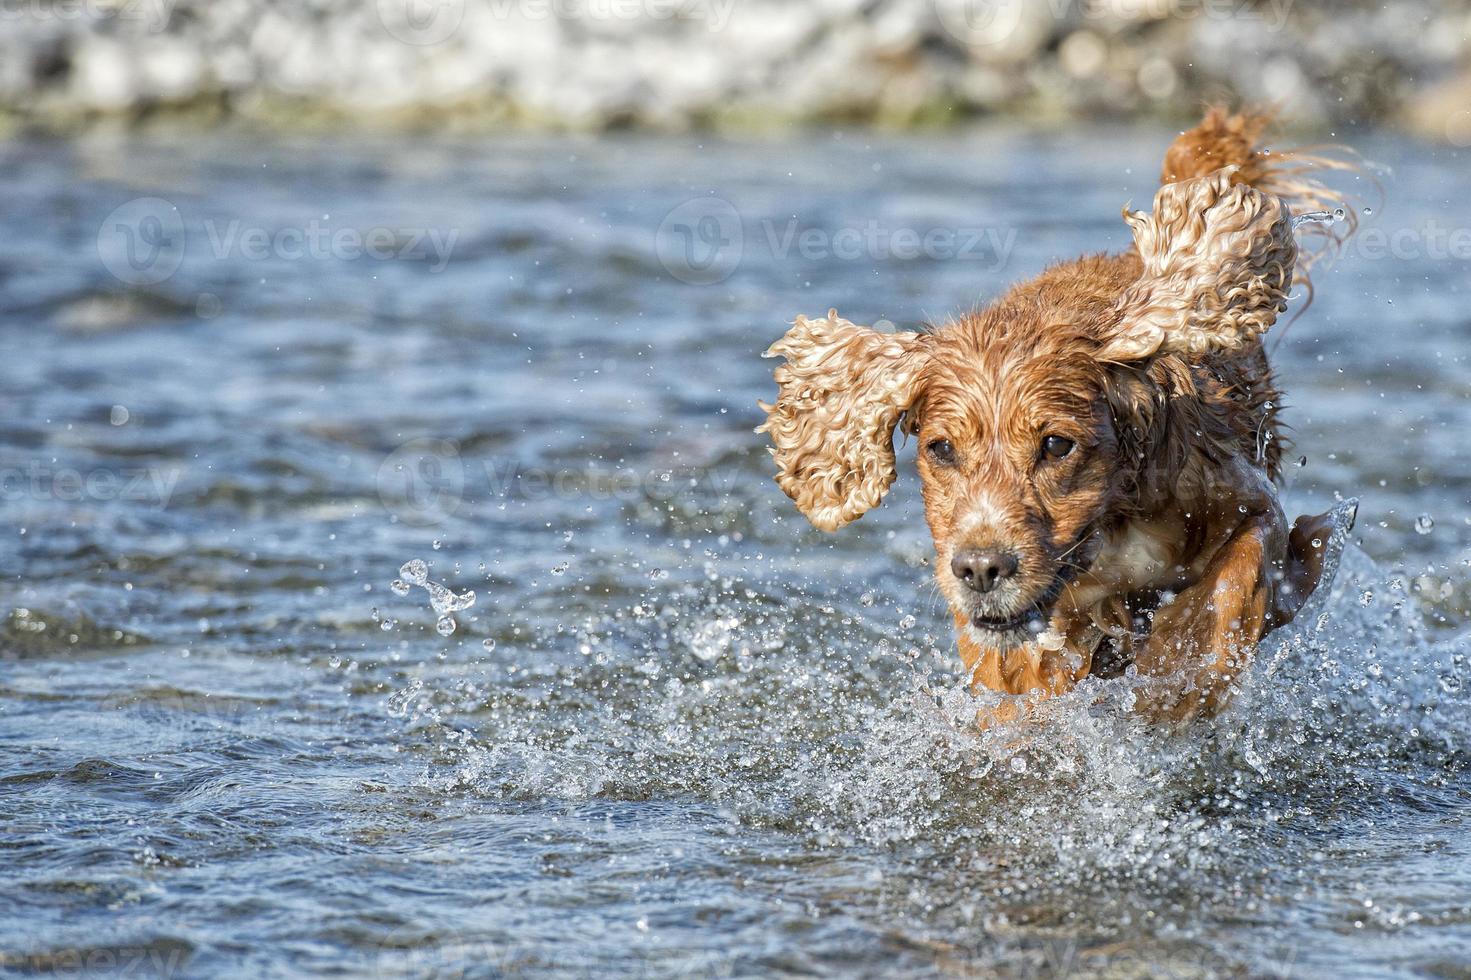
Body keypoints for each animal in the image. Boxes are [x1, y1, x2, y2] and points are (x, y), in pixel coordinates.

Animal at [759, 108, 1353, 718]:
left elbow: (1237, 580)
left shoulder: (1246, 500)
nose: (980, 569)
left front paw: (1175, 678)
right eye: (941, 449)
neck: (1109, 530)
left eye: (1055, 445)